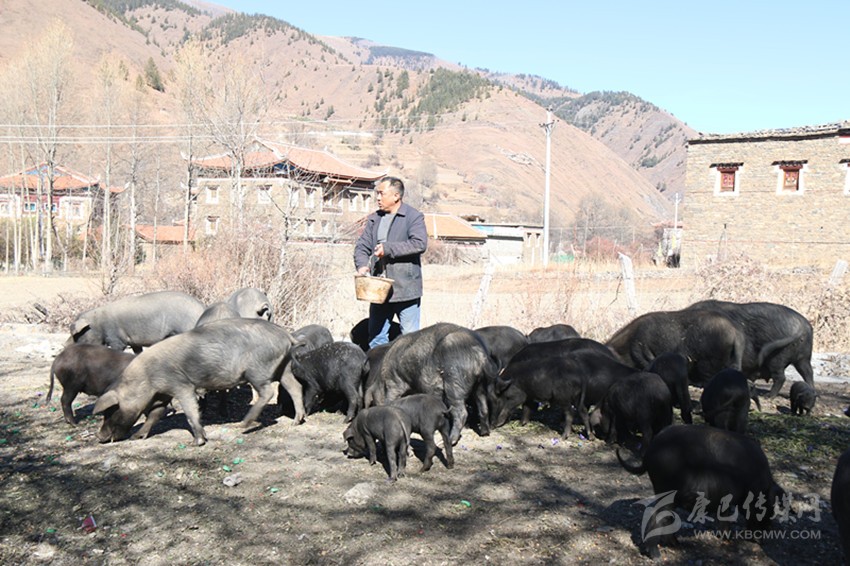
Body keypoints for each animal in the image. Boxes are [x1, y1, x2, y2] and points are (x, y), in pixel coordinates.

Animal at [93, 318, 297, 446]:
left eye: (112, 411)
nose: (99, 437)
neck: (146, 378)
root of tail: (286, 335)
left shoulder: (181, 385)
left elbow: (190, 411)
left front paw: (197, 442)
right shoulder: (163, 394)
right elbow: (154, 414)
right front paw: (137, 437)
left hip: (257, 370)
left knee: (268, 392)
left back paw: (243, 426)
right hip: (284, 368)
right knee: (294, 387)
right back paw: (296, 421)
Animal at [618, 424, 785, 559]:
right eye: (768, 508)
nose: (762, 539)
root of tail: (649, 453)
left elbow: (724, 517)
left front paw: (726, 538)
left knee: (666, 518)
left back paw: (676, 545)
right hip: (666, 492)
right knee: (657, 517)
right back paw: (657, 556)